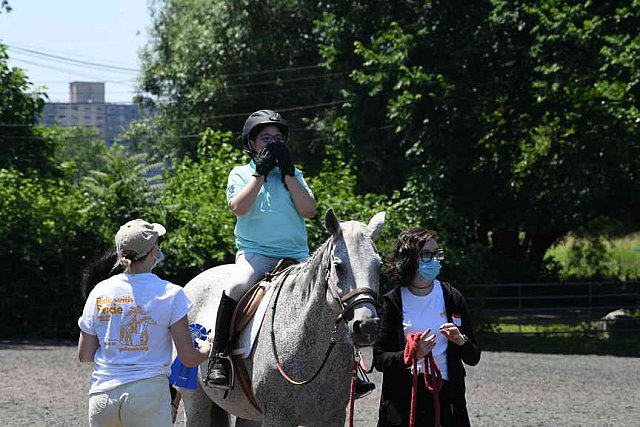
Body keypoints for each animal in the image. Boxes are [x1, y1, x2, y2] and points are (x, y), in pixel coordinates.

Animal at [182, 210, 388, 427]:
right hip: (196, 403)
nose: (367, 326)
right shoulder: (277, 416)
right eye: (338, 266)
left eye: (378, 266)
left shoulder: (332, 417)